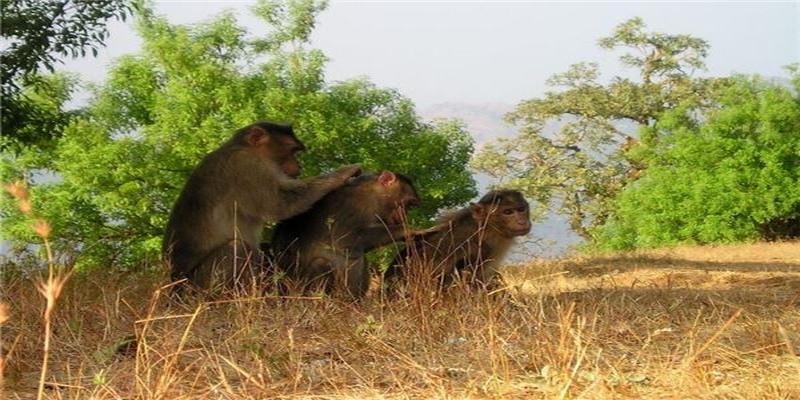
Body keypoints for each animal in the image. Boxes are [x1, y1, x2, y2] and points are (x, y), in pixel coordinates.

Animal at [162, 120, 360, 292]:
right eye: (292, 150)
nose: (299, 166)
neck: (242, 147)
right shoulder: (247, 166)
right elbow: (281, 203)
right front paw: (343, 173)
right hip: (194, 287)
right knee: (237, 248)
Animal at [270, 170, 418, 298]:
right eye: (407, 204)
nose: (404, 215)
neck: (373, 195)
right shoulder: (353, 206)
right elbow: (346, 240)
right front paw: (407, 230)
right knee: (322, 263)